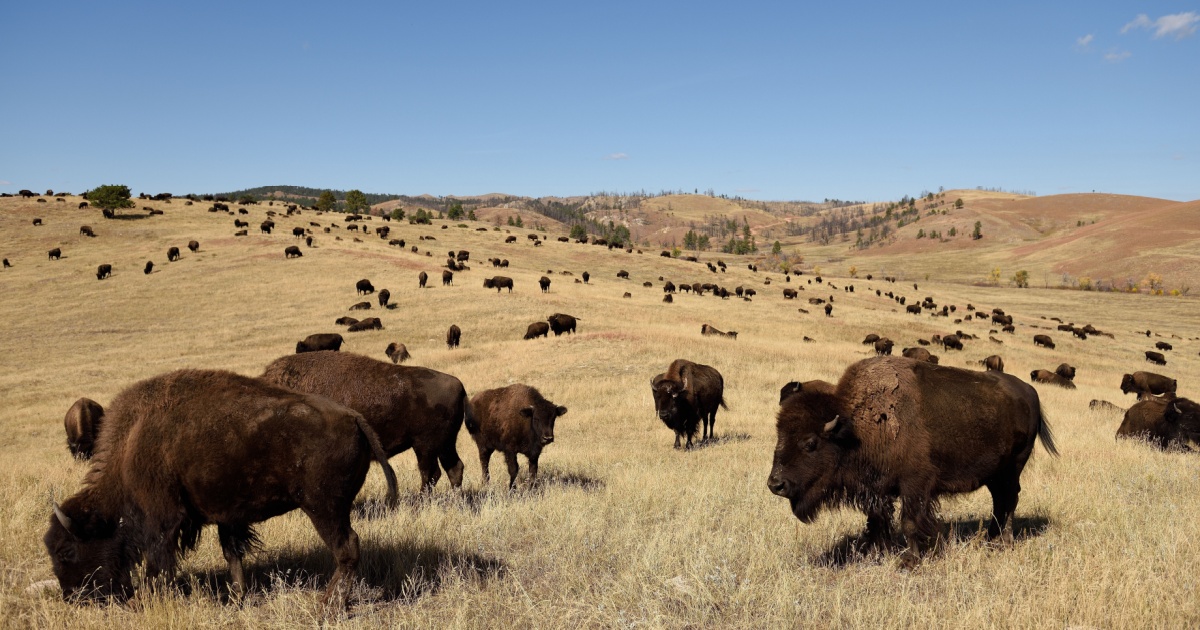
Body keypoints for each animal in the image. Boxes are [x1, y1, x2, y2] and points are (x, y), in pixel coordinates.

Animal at [768, 356, 1058, 565]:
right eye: (779, 435)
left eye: (810, 443)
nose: (775, 484)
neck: (855, 427)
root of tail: (1030, 392)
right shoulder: (877, 490)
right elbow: (877, 522)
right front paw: (877, 554)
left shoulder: (914, 486)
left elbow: (909, 523)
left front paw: (910, 560)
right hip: (995, 474)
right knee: (1000, 502)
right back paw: (989, 538)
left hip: (1012, 469)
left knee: (1009, 501)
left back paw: (1003, 543)